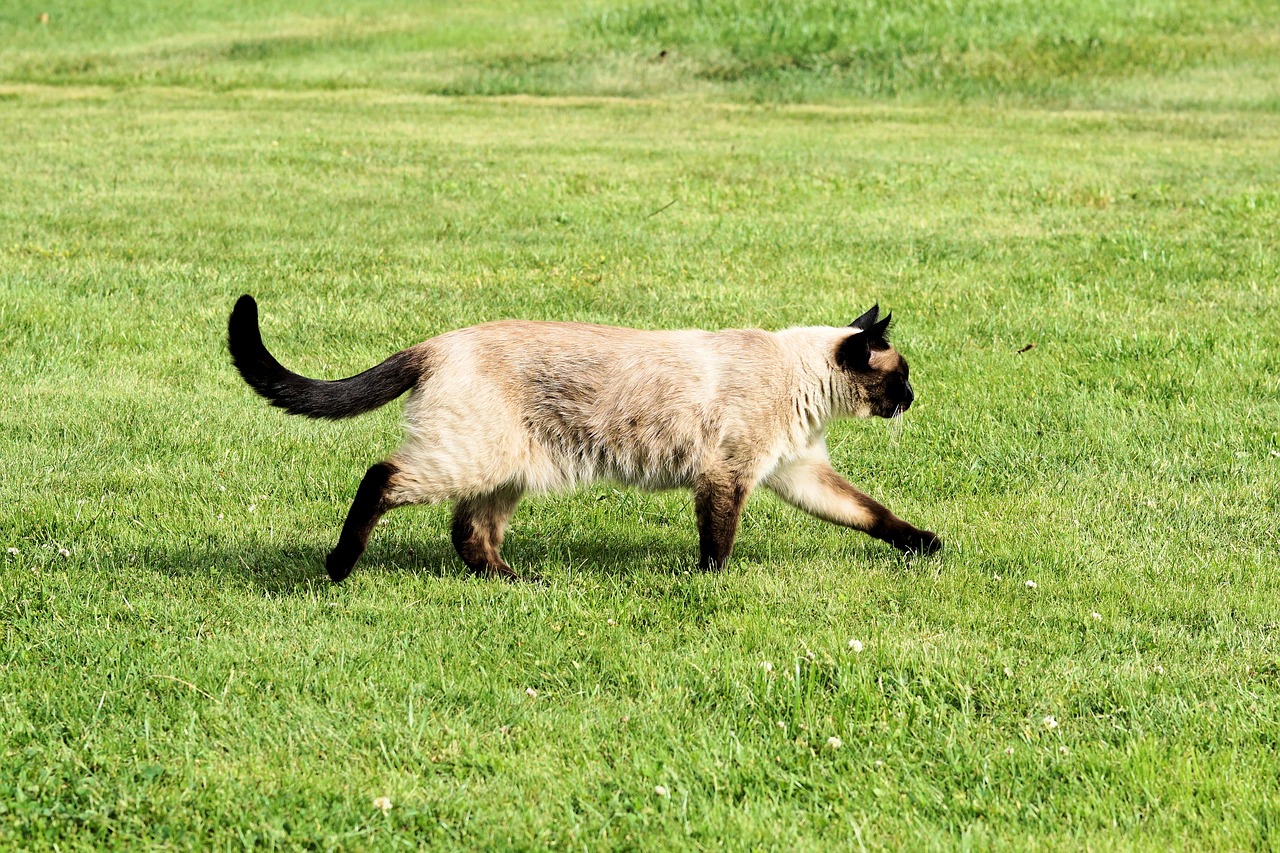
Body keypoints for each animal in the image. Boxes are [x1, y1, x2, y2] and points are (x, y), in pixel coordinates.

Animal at [227, 295, 942, 581]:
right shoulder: (728, 477)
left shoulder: (798, 472)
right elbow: (717, 543)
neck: (802, 382)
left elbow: (872, 514)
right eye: (902, 376)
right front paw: (710, 583)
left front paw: (926, 545)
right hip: (467, 460)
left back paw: (517, 582)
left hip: (506, 470)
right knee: (382, 477)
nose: (913, 399)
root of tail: (435, 342)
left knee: (469, 533)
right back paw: (338, 567)